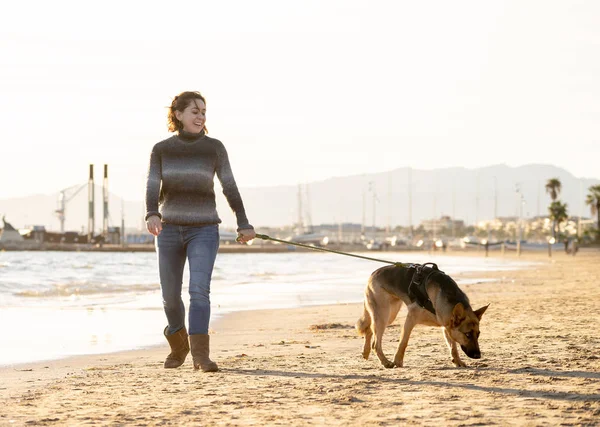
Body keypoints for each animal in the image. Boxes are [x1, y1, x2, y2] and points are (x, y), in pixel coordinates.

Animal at [356, 264, 488, 368]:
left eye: (478, 334)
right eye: (467, 334)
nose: (478, 356)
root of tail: (373, 273)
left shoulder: (446, 326)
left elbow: (453, 347)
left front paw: (457, 361)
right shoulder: (411, 318)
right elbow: (403, 343)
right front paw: (398, 361)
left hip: (389, 315)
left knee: (369, 329)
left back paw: (366, 352)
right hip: (384, 314)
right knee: (375, 342)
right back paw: (385, 362)